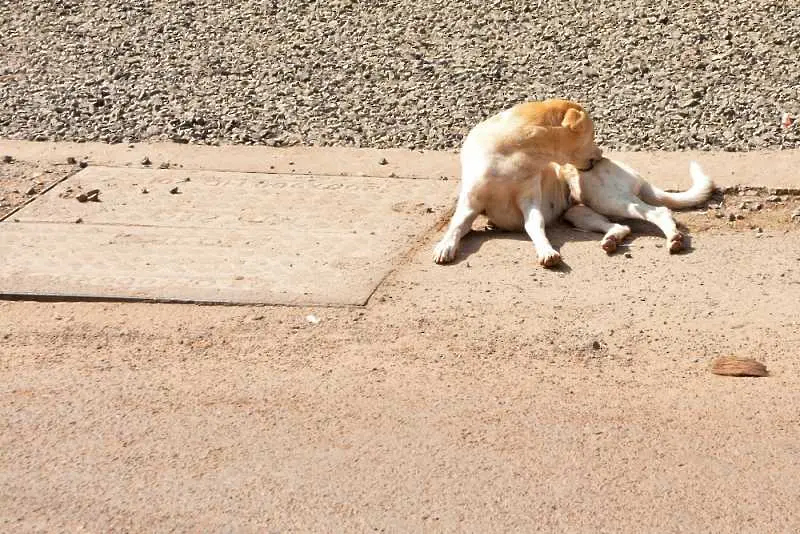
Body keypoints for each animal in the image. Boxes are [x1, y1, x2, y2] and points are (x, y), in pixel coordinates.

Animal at [434, 99, 604, 268]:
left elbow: (536, 224)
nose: (601, 153)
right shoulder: (471, 203)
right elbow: (457, 224)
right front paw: (445, 246)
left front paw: (546, 250)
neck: (512, 154)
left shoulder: (530, 200)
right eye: (592, 135)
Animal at [560, 158, 716, 254]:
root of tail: (640, 177)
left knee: (660, 212)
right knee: (622, 227)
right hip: (577, 211)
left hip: (606, 199)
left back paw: (673, 238)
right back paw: (611, 239)